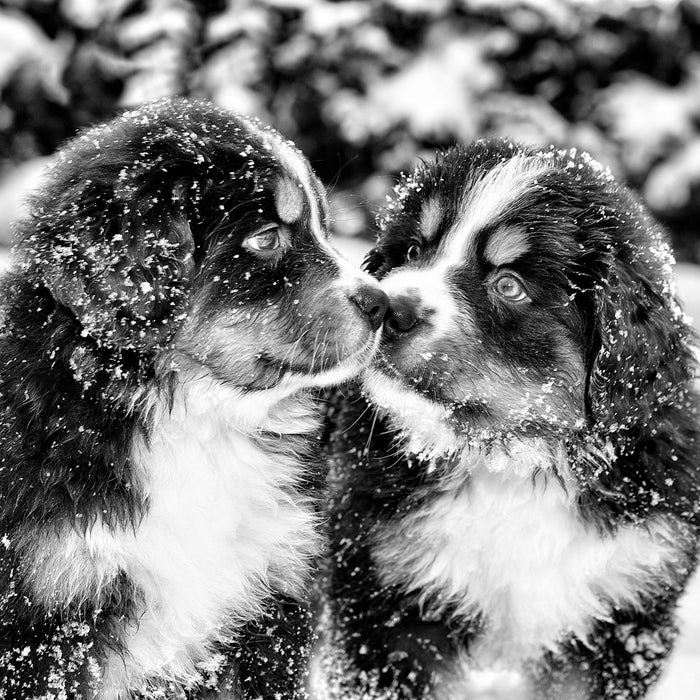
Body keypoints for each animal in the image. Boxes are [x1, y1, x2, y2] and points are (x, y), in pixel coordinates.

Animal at [0, 98, 388, 700]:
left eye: (324, 228)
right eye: (266, 237)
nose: (383, 304)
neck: (198, 420)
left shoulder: (274, 596)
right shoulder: (46, 616)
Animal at [322, 139, 700, 696]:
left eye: (509, 286)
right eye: (412, 252)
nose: (390, 308)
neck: (512, 463)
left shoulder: (624, 614)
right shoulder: (389, 605)